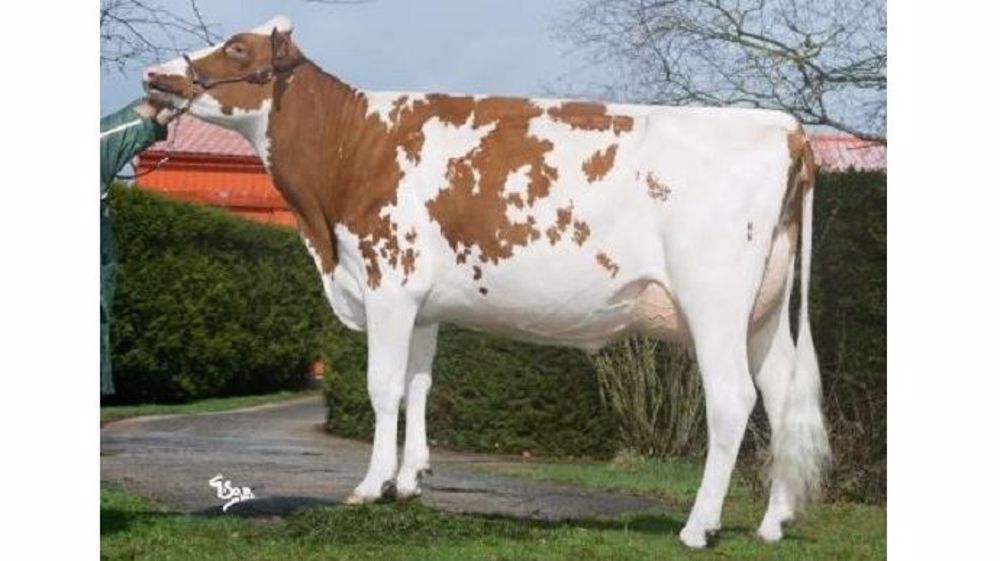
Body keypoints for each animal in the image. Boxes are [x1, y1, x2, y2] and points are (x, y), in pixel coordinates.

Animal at [142, 16, 830, 548]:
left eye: (237, 48)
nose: (154, 77)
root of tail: (784, 128)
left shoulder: (388, 282)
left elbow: (382, 387)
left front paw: (368, 487)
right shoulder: (421, 304)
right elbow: (418, 386)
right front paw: (408, 481)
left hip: (714, 302)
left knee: (733, 400)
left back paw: (699, 527)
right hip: (763, 313)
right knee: (779, 395)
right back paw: (772, 525)